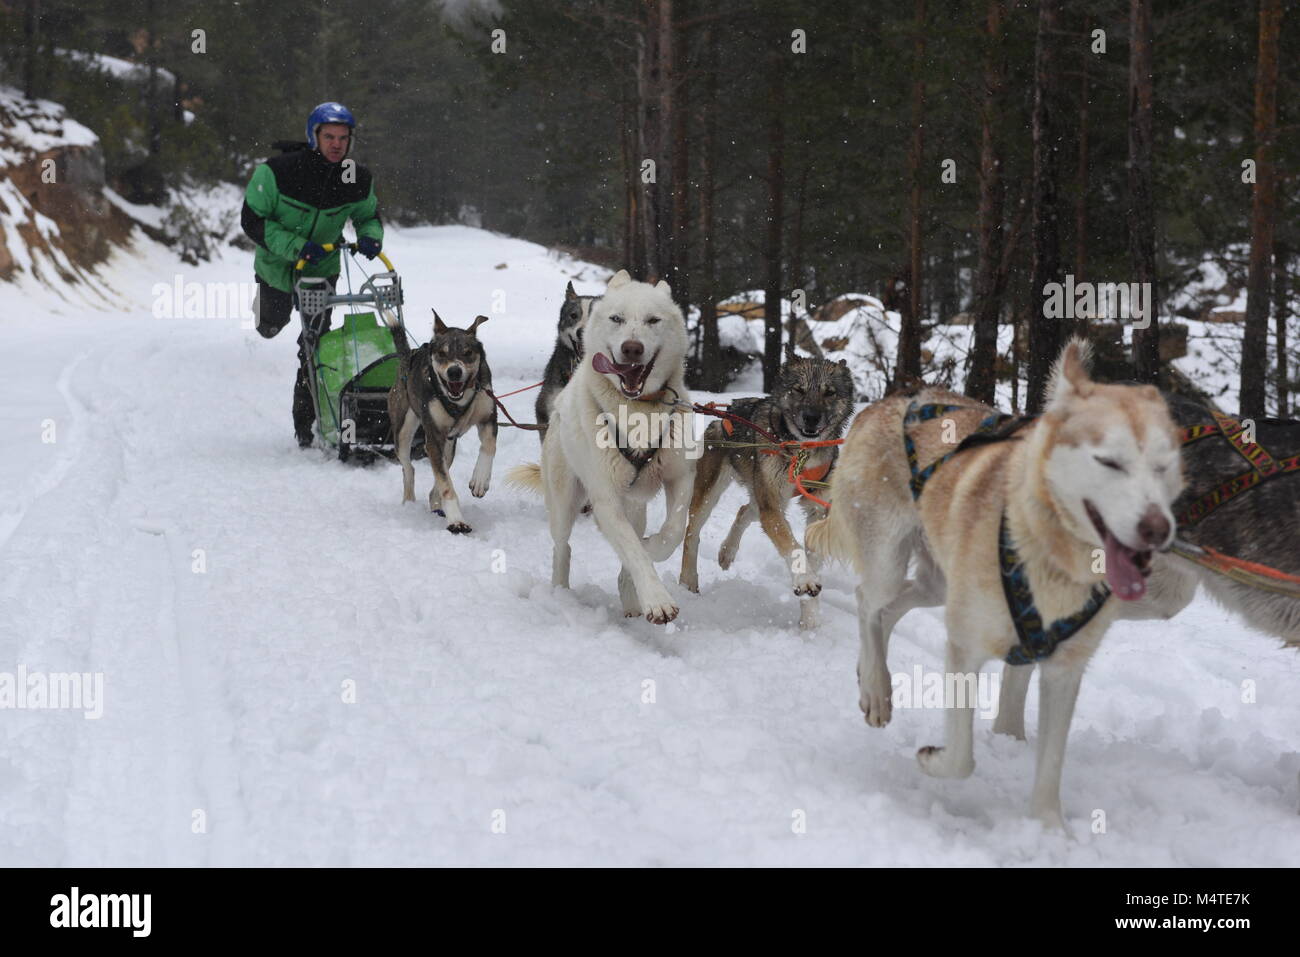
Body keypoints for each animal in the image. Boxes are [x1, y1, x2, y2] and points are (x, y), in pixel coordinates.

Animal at [811, 343, 1190, 832]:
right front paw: (933, 760)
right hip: (888, 563)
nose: (1157, 529)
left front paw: (1049, 831)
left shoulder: (1064, 670)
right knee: (866, 602)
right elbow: (961, 759)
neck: (1050, 556)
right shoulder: (965, 649)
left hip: (938, 584)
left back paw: (870, 673)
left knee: (890, 611)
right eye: (1109, 461)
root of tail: (885, 403)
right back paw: (876, 688)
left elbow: (1050, 766)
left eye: (1163, 466)